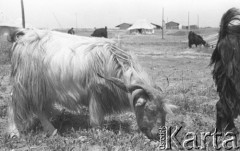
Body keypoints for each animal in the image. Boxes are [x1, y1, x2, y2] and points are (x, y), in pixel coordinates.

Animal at [7, 28, 176, 139]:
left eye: (164, 112)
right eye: (151, 110)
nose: (158, 135)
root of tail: (23, 36)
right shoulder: (95, 93)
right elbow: (96, 119)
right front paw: (98, 133)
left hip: (41, 88)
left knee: (39, 107)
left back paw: (49, 130)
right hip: (25, 84)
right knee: (16, 104)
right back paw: (16, 132)